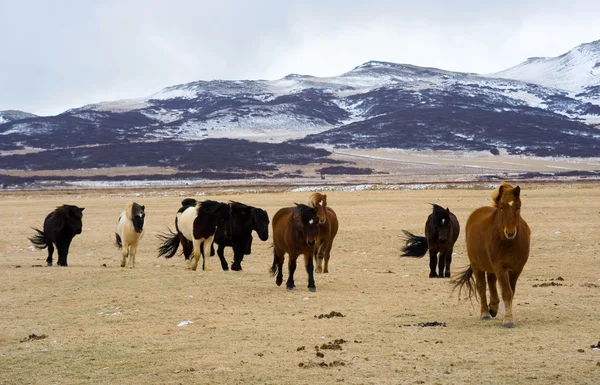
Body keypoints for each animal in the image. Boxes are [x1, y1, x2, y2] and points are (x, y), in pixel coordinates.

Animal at [452, 182, 532, 328]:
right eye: (501, 207)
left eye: (518, 207)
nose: (510, 232)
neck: (509, 243)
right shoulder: (500, 268)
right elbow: (506, 292)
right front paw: (508, 320)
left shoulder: (516, 269)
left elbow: (511, 292)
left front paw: (504, 315)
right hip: (477, 265)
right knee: (482, 287)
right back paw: (485, 313)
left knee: (491, 281)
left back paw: (494, 307)